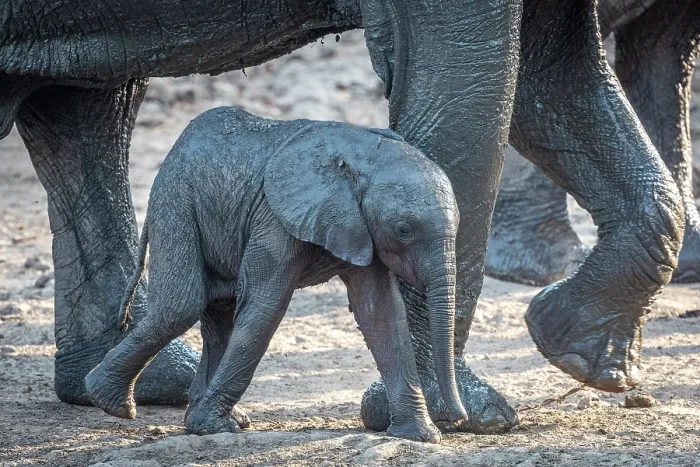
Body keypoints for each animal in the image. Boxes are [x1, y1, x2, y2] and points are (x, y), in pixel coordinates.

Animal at [84, 107, 468, 442]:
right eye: (404, 230)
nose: (458, 419)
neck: (361, 153)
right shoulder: (273, 216)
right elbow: (265, 307)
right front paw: (210, 428)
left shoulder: (361, 228)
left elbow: (382, 313)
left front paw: (420, 436)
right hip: (176, 200)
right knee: (181, 305)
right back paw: (110, 402)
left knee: (219, 314)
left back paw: (223, 418)